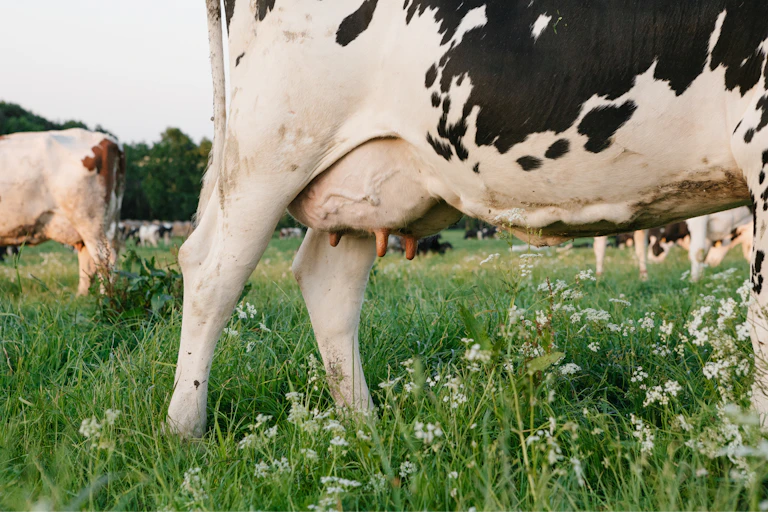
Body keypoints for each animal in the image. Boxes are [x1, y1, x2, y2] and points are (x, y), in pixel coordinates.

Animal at [0, 129, 125, 295]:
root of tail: (110, 140)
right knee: (89, 261)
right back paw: (81, 296)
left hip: (90, 221)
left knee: (104, 260)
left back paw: (105, 298)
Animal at [166, 0, 768, 437]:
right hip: (271, 143)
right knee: (212, 273)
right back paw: (184, 431)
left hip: (358, 177)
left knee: (326, 283)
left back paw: (364, 427)